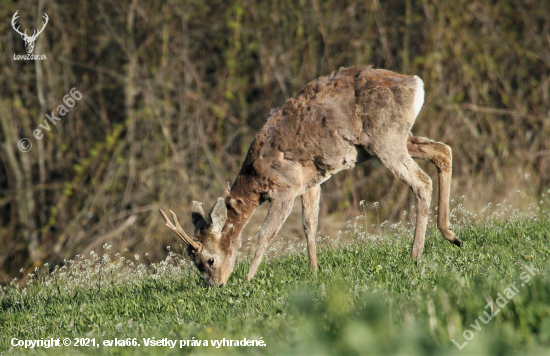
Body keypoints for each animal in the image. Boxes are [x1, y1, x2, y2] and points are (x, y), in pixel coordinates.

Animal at [162, 64, 464, 286]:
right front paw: (314, 269)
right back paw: (451, 235)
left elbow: (265, 234)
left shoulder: (285, 186)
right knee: (443, 151)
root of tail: (415, 83)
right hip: (398, 139)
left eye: (210, 260)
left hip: (385, 139)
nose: (214, 285)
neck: (255, 177)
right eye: (195, 263)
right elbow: (310, 225)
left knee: (421, 182)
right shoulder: (309, 182)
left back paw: (415, 255)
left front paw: (248, 278)